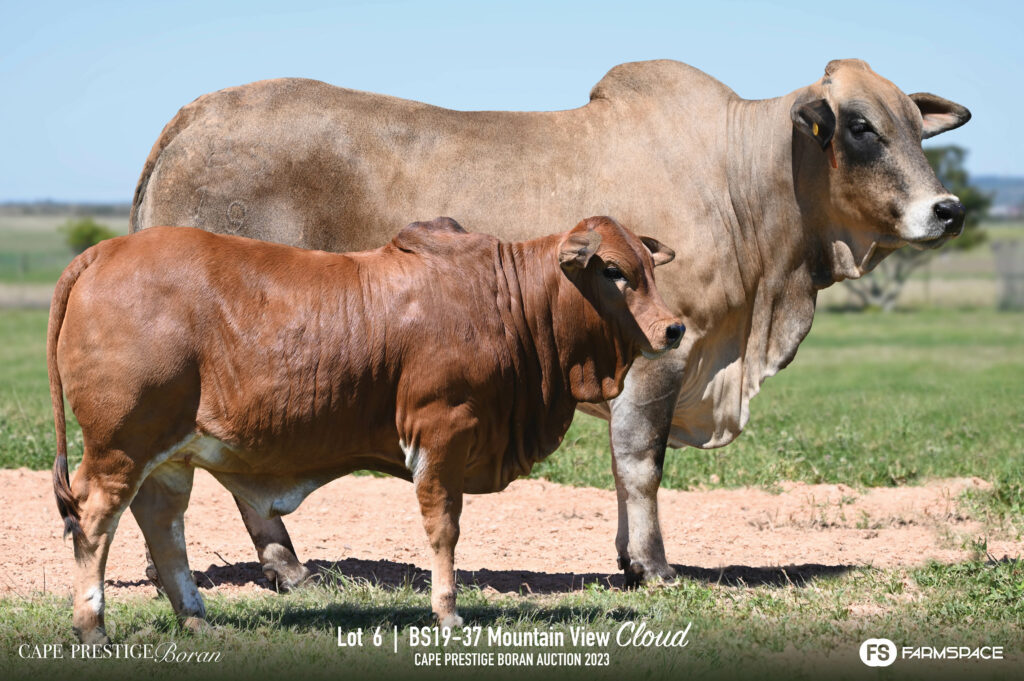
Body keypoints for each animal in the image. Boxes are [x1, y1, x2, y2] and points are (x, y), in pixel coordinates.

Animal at [49, 216, 683, 642]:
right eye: (613, 270)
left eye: (649, 268)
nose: (674, 328)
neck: (506, 301)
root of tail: (103, 251)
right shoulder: (441, 432)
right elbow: (443, 529)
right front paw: (448, 612)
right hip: (120, 448)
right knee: (95, 521)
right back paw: (92, 627)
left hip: (169, 457)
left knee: (163, 526)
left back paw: (196, 618)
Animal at [131, 58, 971, 588]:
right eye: (859, 127)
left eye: (917, 127)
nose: (948, 209)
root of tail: (194, 116)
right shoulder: (665, 353)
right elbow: (641, 462)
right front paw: (655, 567)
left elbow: (623, 467)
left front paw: (628, 559)